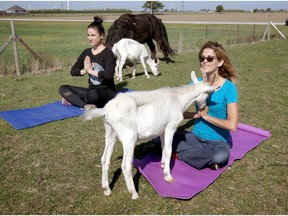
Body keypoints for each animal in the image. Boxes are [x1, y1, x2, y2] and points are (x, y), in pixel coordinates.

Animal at [83, 70, 216, 199]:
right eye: (208, 94)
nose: (204, 108)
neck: (178, 99)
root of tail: (107, 110)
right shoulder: (170, 127)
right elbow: (169, 150)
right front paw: (168, 176)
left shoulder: (162, 130)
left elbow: (163, 147)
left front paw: (162, 164)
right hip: (129, 137)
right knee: (125, 165)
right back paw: (134, 194)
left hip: (110, 132)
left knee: (105, 159)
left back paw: (107, 189)